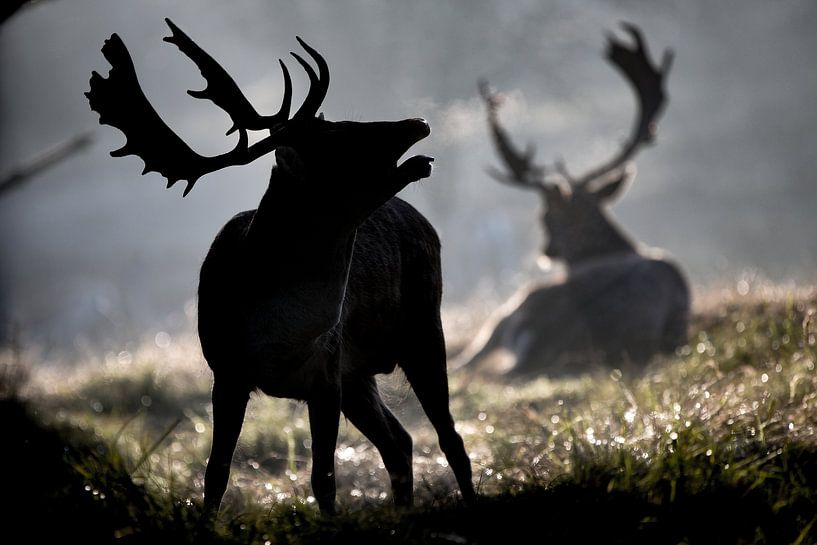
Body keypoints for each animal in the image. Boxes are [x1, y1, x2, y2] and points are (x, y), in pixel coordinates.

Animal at [86, 17, 474, 520]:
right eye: (336, 138)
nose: (417, 122)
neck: (275, 331)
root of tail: (424, 221)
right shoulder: (228, 372)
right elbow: (215, 473)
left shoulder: (325, 372)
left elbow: (323, 478)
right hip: (362, 372)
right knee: (401, 441)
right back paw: (402, 512)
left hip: (422, 326)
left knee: (450, 437)